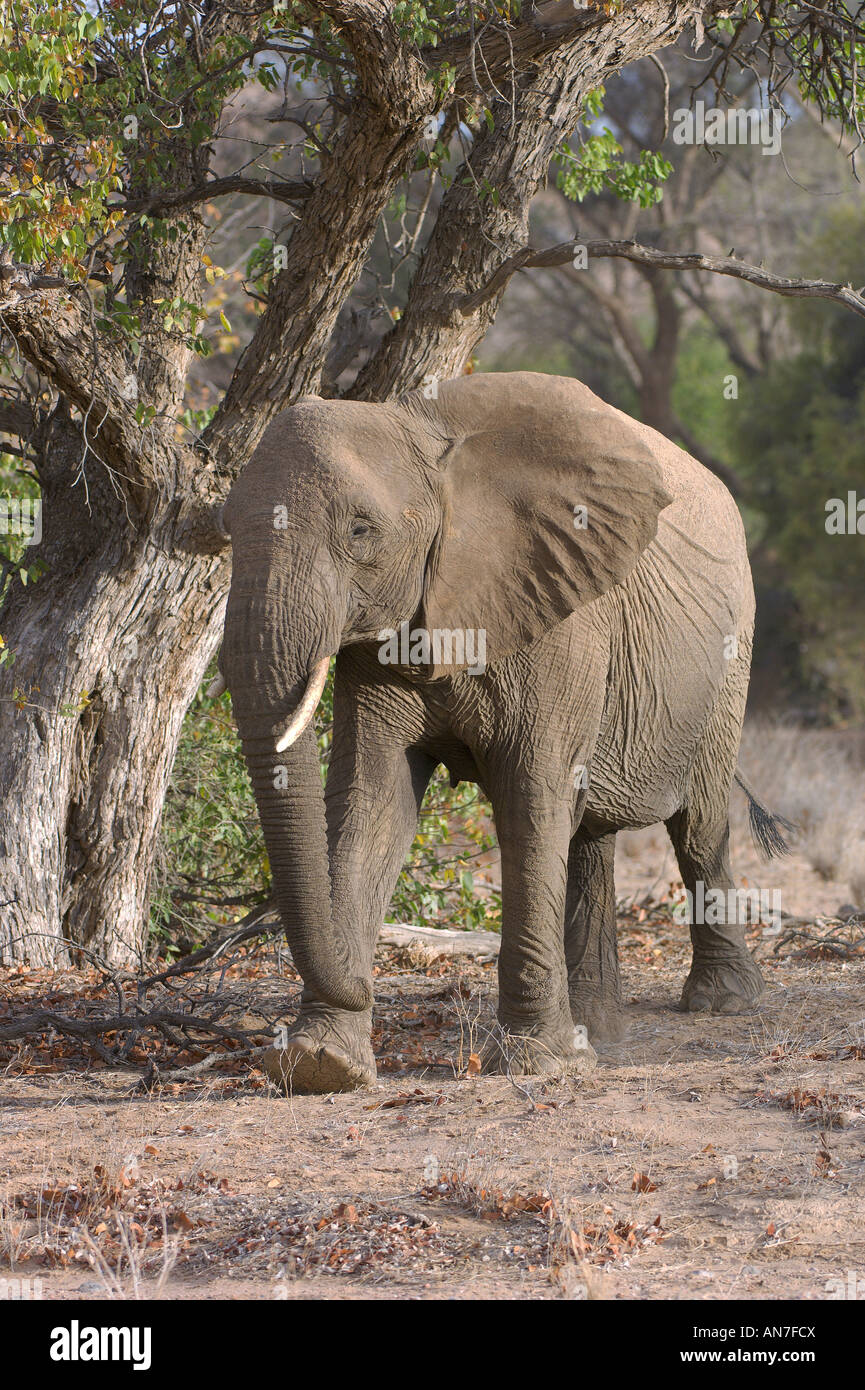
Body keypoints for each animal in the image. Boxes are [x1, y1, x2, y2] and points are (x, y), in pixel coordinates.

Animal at [216, 375, 784, 1089]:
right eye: (225, 529)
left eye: (361, 530)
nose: (363, 982)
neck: (426, 436)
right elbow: (373, 799)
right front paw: (323, 1063)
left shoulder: (559, 616)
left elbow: (530, 795)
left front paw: (538, 1063)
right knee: (588, 834)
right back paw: (595, 1030)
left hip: (730, 661)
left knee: (698, 827)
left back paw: (719, 1002)